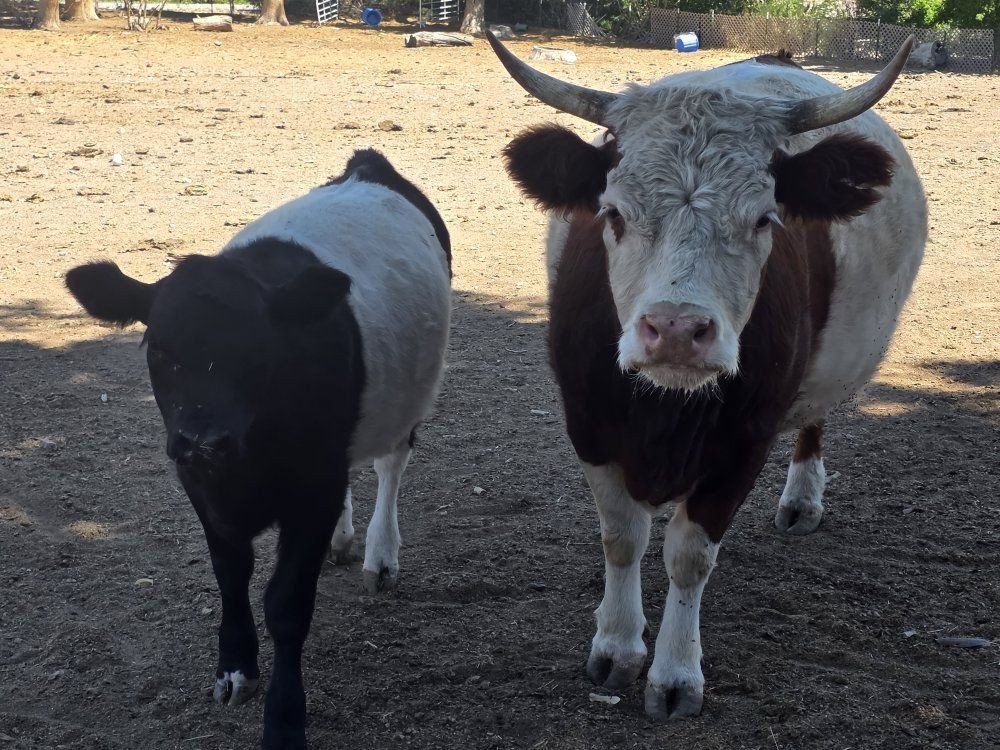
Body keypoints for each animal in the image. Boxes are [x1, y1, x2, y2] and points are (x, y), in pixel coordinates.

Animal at [65, 149, 451, 749]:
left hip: (410, 394)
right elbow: (230, 574)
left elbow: (286, 606)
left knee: (391, 462)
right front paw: (234, 668)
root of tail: (366, 166)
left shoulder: (311, 491)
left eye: (257, 349)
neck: (246, 466)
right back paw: (344, 540)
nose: (203, 437)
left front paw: (285, 720)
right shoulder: (202, 486)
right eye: (159, 348)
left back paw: (379, 555)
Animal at [486, 33, 926, 720]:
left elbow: (690, 556)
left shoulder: (745, 441)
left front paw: (674, 675)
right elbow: (622, 537)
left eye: (765, 219)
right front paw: (616, 647)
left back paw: (802, 499)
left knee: (814, 421)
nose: (674, 329)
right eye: (612, 213)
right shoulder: (587, 423)